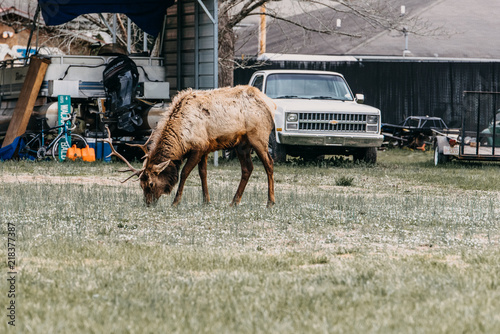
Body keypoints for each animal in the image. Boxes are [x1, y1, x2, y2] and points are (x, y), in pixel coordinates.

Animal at [106, 85, 278, 207]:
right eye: (140, 185)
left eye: (151, 184)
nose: (148, 204)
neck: (181, 137)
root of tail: (271, 104)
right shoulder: (206, 148)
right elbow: (203, 173)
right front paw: (206, 201)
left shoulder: (199, 147)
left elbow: (184, 173)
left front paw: (176, 202)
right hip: (242, 144)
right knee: (247, 169)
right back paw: (234, 202)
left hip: (258, 137)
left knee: (269, 163)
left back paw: (270, 202)